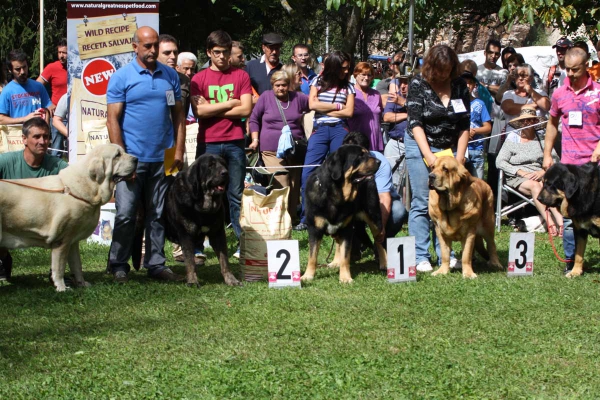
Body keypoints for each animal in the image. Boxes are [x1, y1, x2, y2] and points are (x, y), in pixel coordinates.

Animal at [0, 144, 137, 290]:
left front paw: (82, 284)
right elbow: (59, 267)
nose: (137, 160)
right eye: (117, 155)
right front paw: (61, 287)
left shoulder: (73, 241)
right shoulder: (62, 240)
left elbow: (77, 265)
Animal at [164, 153, 241, 288]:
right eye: (210, 166)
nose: (225, 173)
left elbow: (224, 260)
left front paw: (231, 279)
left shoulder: (218, 234)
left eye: (223, 164)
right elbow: (190, 262)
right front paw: (193, 281)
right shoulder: (186, 235)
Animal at [298, 145, 384, 282]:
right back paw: (335, 262)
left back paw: (384, 264)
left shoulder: (347, 229)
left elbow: (345, 256)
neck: (335, 194)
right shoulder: (314, 229)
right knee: (337, 243)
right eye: (360, 156)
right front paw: (307, 276)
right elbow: (312, 256)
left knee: (380, 242)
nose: (379, 161)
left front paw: (345, 278)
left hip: (374, 219)